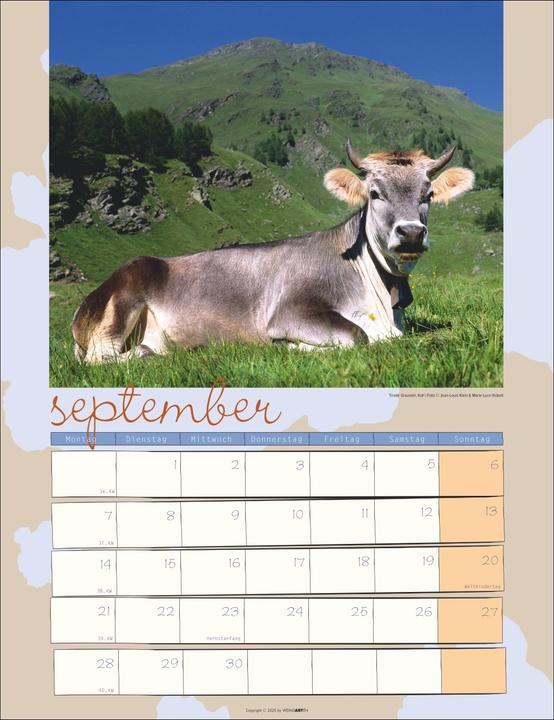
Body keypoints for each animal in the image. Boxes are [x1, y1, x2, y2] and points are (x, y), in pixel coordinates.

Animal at [72, 141, 474, 363]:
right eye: (375, 194)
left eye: (428, 194)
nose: (411, 233)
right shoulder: (289, 312)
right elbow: (356, 337)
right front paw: (291, 348)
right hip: (118, 310)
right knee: (103, 359)